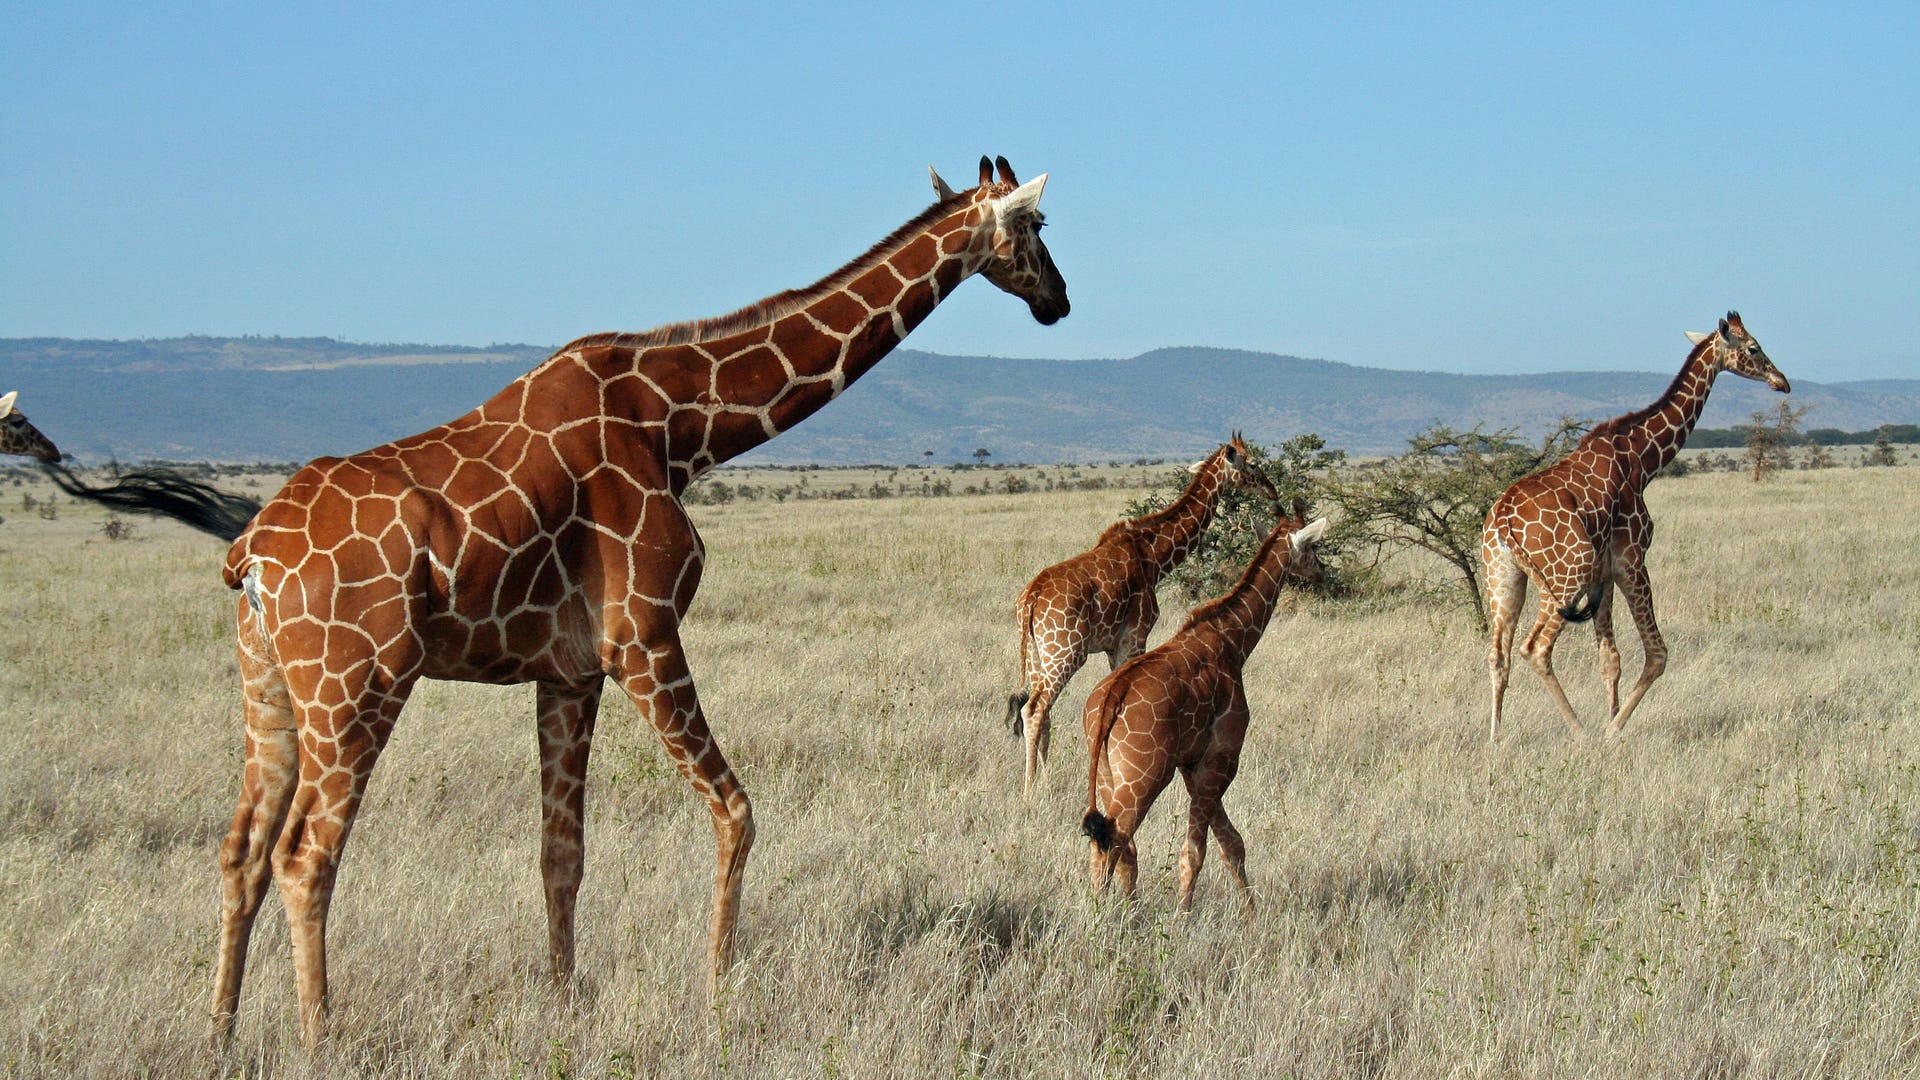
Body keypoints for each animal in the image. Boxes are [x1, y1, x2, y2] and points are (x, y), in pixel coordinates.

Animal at [60, 157, 1068, 1046]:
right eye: (1036, 227)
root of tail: (251, 552)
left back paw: (221, 1035)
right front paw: (718, 994)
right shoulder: (645, 638)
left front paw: (564, 1005)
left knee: (240, 852)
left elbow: (561, 854)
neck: (681, 427)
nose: (1059, 300)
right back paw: (318, 1042)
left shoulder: (569, 671)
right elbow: (737, 813)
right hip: (357, 686)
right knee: (307, 857)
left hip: (268, 684)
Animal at [1007, 434, 1281, 798]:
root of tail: (1031, 599)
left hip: (1039, 655)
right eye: (1252, 463)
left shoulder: (1114, 645)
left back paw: (1045, 781)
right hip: (1065, 652)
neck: (1154, 556)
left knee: (1042, 710)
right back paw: (1029, 791)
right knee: (1035, 708)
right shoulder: (1135, 635)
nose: (1273, 492)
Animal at [1081, 507, 1329, 913]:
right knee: (1114, 840)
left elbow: (1232, 843)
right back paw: (1102, 920)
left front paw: (1251, 915)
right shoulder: (1222, 756)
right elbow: (1197, 851)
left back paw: (1130, 917)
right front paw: (1184, 918)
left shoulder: (1192, 763)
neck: (1233, 640)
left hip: (1106, 772)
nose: (1321, 572)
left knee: (1117, 845)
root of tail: (1110, 700)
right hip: (1144, 775)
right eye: (1312, 547)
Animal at [1482, 311, 1788, 741]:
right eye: (1754, 348)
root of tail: (1504, 519)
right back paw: (1582, 734)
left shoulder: (1604, 571)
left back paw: (1496, 737)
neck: (1643, 460)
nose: (1782, 382)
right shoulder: (1631, 559)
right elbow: (1657, 654)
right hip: (1567, 574)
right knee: (1535, 649)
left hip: (1504, 577)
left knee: (1499, 652)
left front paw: (1611, 717)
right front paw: (1613, 731)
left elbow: (1610, 659)